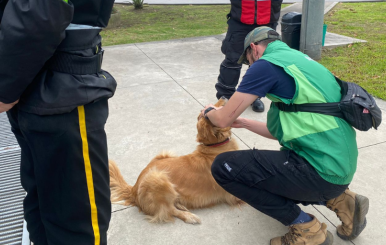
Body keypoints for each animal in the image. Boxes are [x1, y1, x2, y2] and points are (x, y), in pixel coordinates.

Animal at [108, 97, 241, 224]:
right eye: (211, 109)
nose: (223, 96)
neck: (214, 147)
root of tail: (134, 188)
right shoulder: (232, 195)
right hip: (157, 178)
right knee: (168, 210)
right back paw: (189, 216)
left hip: (165, 154)